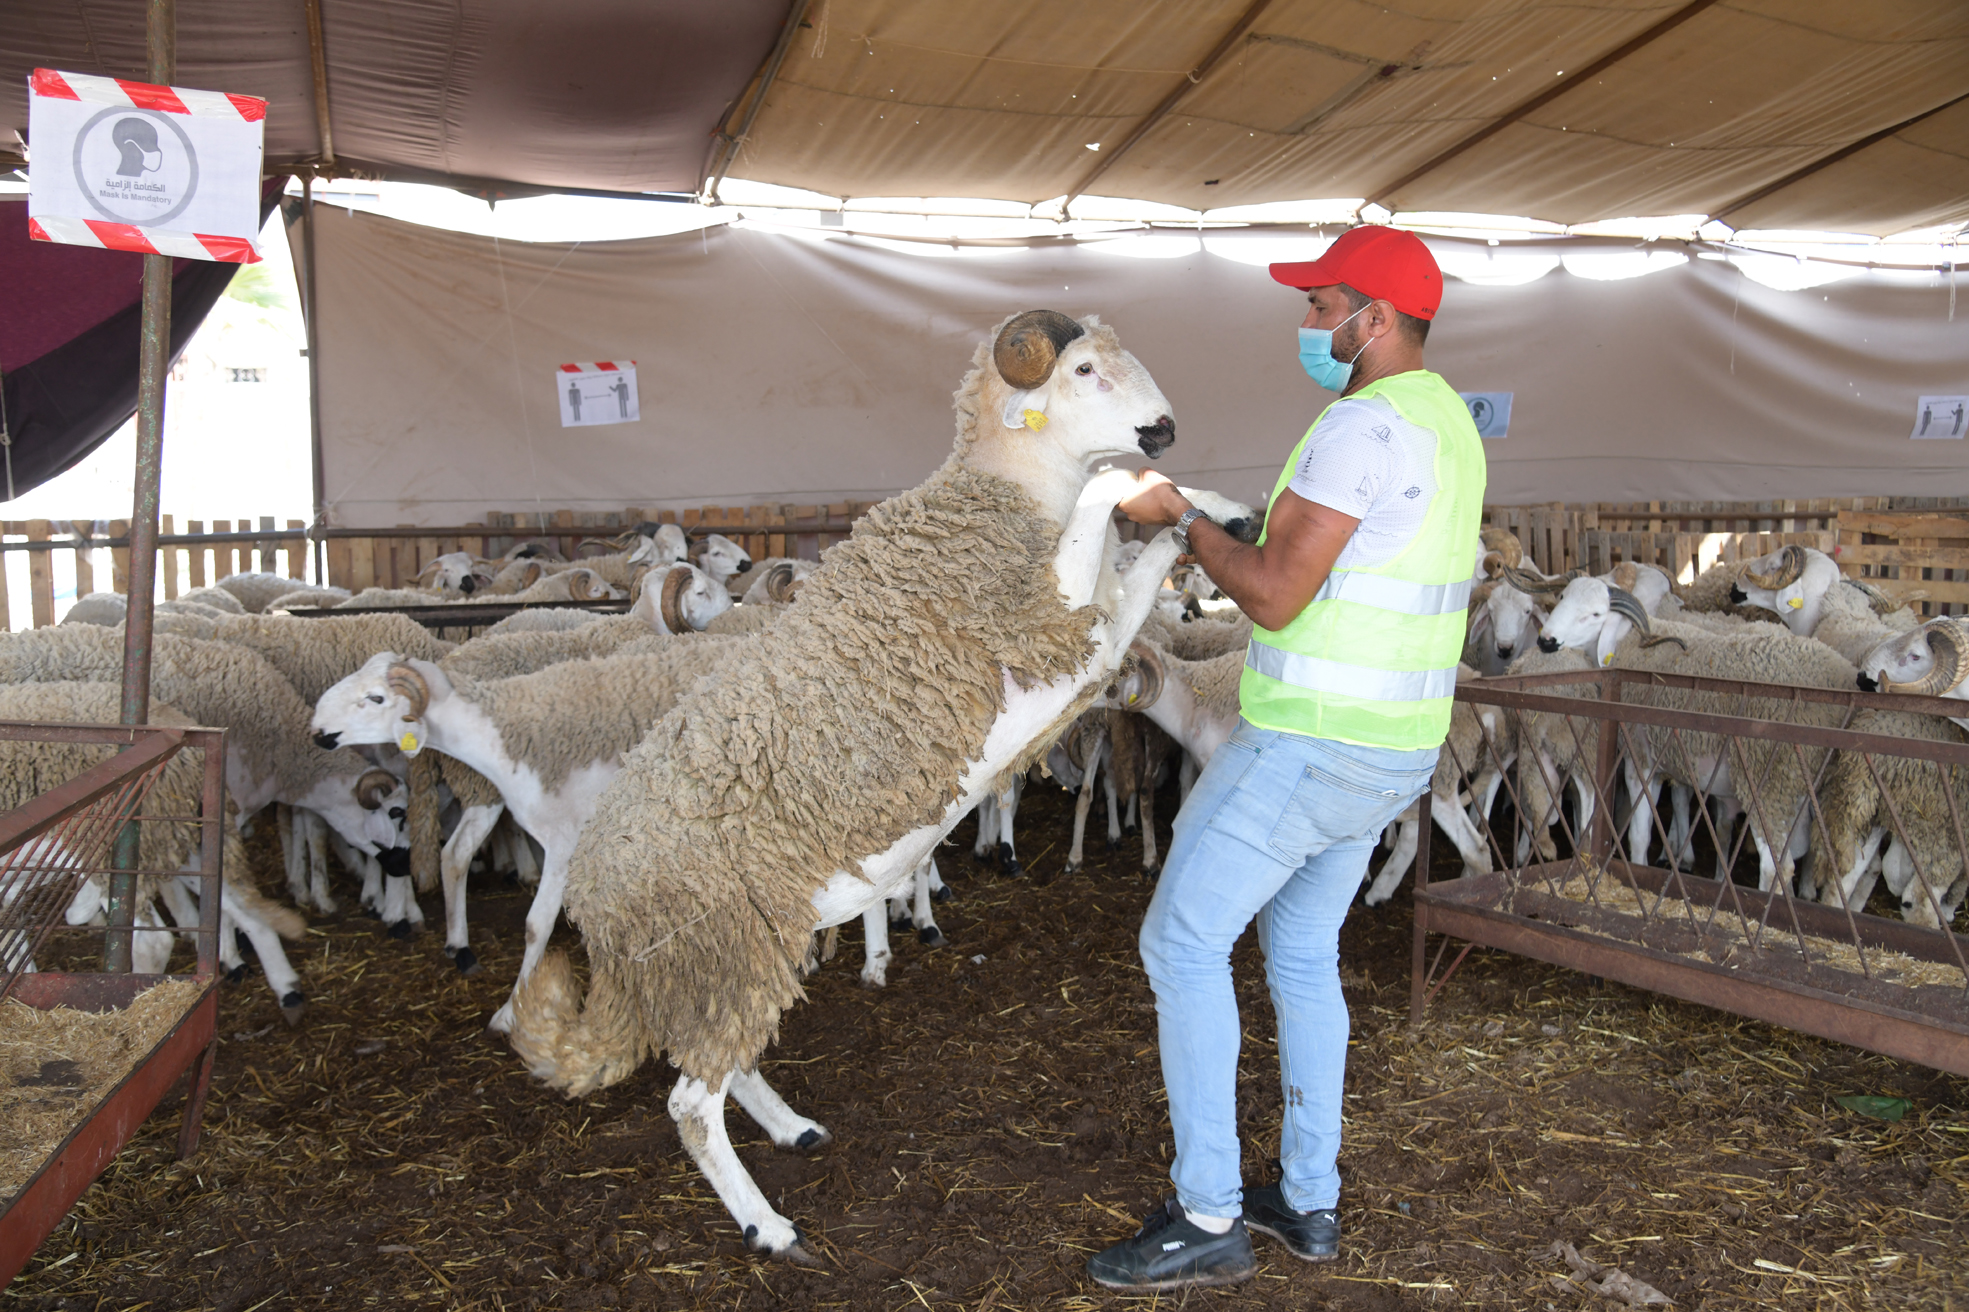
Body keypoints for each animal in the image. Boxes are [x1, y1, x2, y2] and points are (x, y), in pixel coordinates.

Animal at [474, 307, 1185, 1258]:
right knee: (689, 1102)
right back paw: (767, 1226)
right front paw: (1163, 495)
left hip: (726, 960)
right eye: (1081, 370)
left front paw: (1199, 518)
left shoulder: (1087, 644)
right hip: (721, 949)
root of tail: (598, 895)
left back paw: (791, 1129)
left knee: (721, 1062)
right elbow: (1109, 526)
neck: (1003, 504)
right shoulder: (1053, 637)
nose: (1163, 430)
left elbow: (1137, 572)